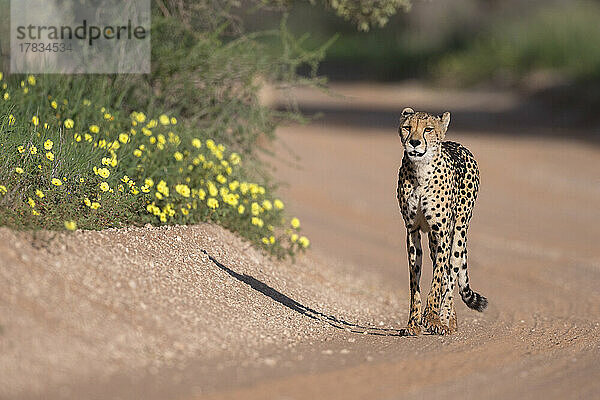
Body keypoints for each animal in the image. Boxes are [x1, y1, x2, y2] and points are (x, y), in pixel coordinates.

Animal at [398, 108, 488, 336]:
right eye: (407, 127)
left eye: (428, 129)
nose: (414, 142)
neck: (421, 171)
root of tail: (458, 144)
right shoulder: (412, 230)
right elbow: (415, 281)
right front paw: (413, 323)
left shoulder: (442, 232)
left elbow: (439, 277)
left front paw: (431, 318)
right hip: (432, 239)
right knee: (447, 273)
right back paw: (450, 320)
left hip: (458, 232)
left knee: (451, 274)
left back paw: (446, 321)